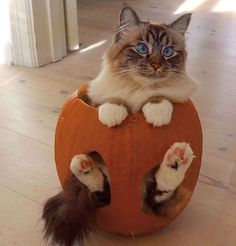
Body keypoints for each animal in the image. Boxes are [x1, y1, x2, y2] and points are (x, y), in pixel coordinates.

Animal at [42, 5, 195, 246]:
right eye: (142, 48)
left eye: (168, 52)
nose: (155, 65)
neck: (138, 90)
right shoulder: (100, 96)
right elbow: (114, 99)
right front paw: (113, 114)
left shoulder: (174, 96)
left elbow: (160, 97)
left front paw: (157, 111)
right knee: (102, 193)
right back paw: (83, 165)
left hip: (155, 194)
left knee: (159, 191)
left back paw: (177, 158)